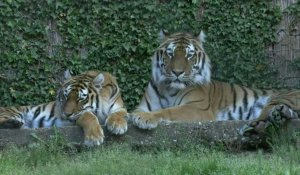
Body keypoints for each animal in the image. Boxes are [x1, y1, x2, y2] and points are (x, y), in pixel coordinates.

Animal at [127, 30, 300, 137]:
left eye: (189, 55)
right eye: (170, 54)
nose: (177, 72)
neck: (170, 89)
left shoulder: (197, 108)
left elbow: (169, 111)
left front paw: (144, 118)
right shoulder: (143, 105)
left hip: (281, 97)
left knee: (266, 114)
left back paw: (256, 127)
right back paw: (280, 114)